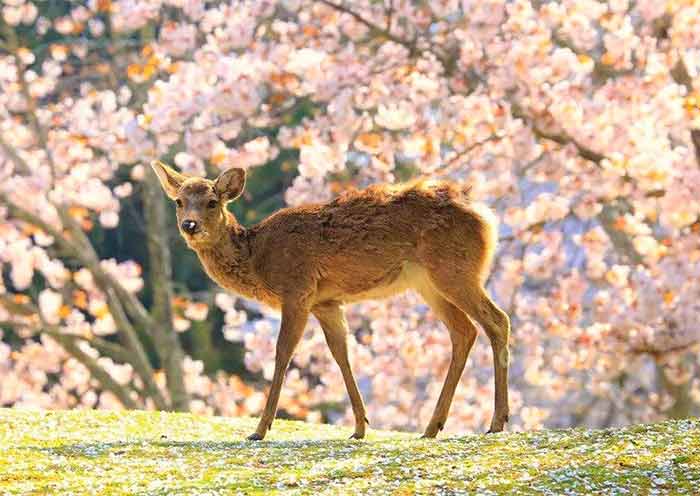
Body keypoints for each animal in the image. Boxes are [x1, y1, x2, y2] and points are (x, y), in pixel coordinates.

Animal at [152, 161, 508, 440]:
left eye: (212, 202)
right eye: (179, 201)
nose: (190, 225)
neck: (258, 260)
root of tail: (486, 218)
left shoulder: (297, 290)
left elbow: (283, 353)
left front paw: (260, 429)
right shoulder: (326, 303)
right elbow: (341, 354)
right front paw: (360, 426)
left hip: (454, 270)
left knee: (496, 320)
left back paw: (496, 421)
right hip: (428, 282)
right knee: (464, 331)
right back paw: (433, 426)